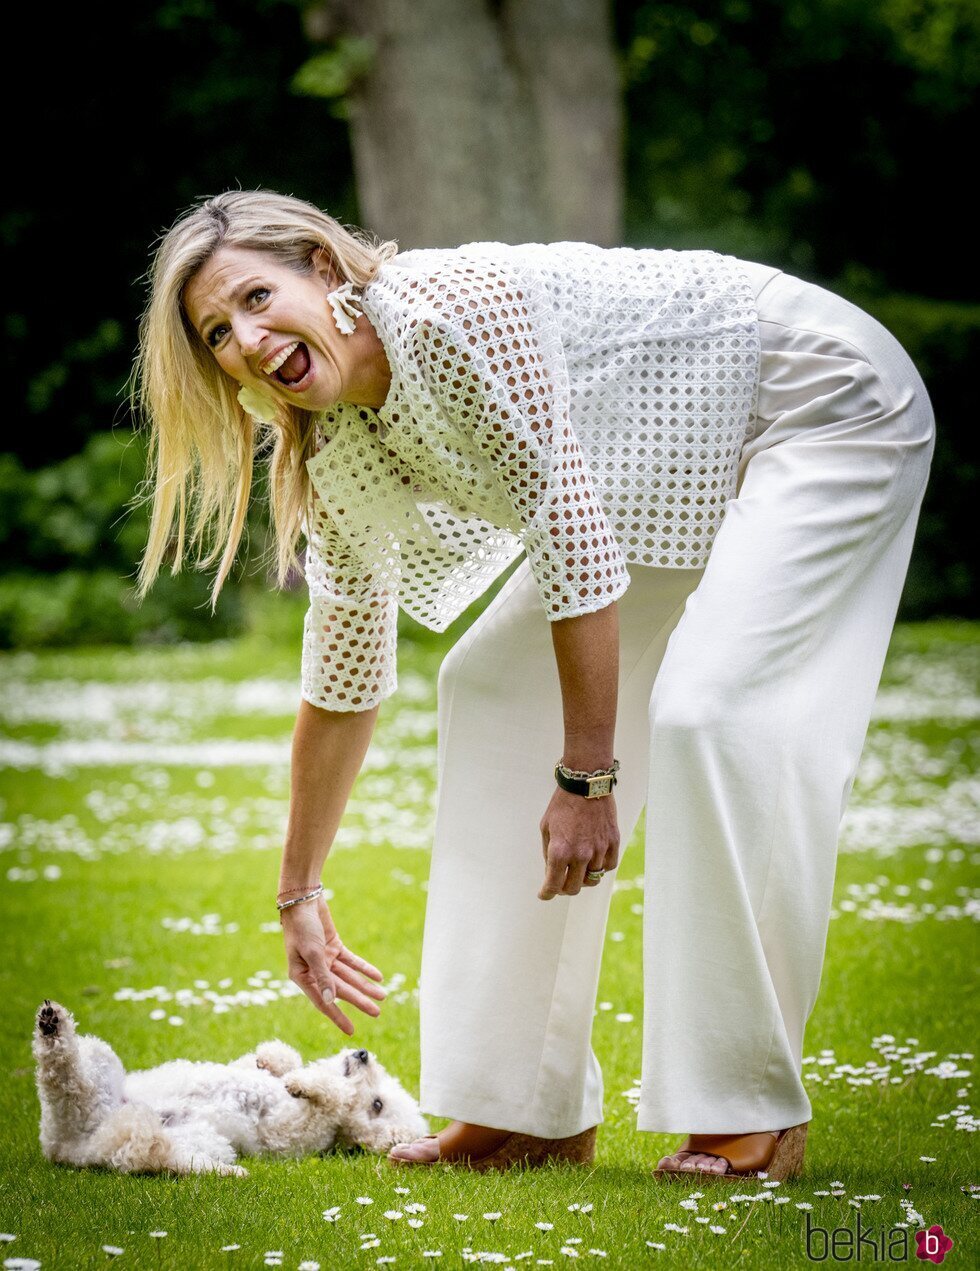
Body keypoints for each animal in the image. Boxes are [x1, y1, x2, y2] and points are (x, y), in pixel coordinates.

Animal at [33, 996, 424, 1174]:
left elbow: (331, 1099)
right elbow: (279, 1059)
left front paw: (307, 1084)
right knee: (63, 1076)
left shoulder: (287, 1133)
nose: (363, 1054)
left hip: (196, 1139)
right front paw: (273, 1061)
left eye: (377, 1105)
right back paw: (52, 1028)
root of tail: (72, 1149)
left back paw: (225, 1171)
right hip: (100, 1063)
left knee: (152, 1154)